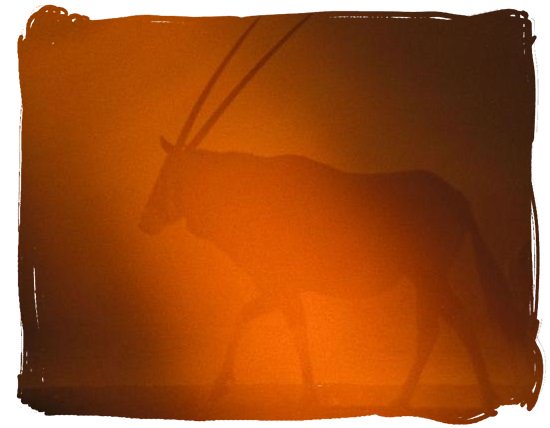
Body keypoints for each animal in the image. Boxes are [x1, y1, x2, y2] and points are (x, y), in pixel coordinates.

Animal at [140, 15, 536, 412]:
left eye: (169, 174)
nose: (146, 220)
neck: (243, 187)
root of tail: (456, 197)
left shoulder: (278, 284)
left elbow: (253, 318)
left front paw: (226, 387)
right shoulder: (283, 288)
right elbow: (292, 328)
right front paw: (306, 395)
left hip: (428, 273)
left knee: (453, 322)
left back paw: (469, 397)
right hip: (423, 277)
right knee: (436, 326)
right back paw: (405, 398)